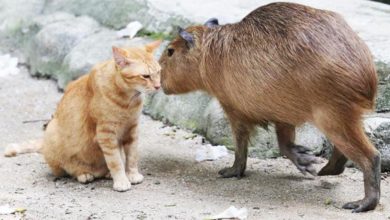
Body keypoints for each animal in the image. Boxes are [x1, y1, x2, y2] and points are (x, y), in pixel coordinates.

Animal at [4, 40, 160, 191]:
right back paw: (83, 173)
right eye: (145, 76)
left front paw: (132, 174)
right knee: (66, 170)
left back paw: (106, 173)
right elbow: (115, 161)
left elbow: (132, 157)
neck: (129, 100)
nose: (158, 86)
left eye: (158, 72)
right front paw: (121, 180)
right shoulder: (106, 134)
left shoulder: (132, 129)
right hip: (51, 132)